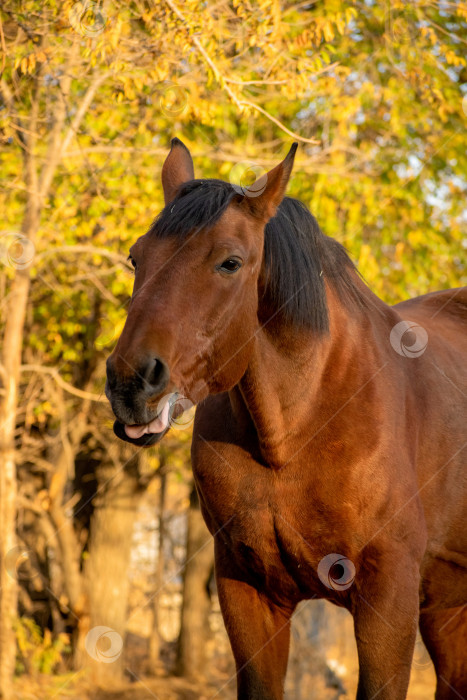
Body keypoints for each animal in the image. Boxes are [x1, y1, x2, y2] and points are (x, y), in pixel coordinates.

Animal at [106, 139, 467, 696]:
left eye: (230, 262)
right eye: (136, 256)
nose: (130, 383)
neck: (296, 429)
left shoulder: (389, 600)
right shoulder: (248, 591)